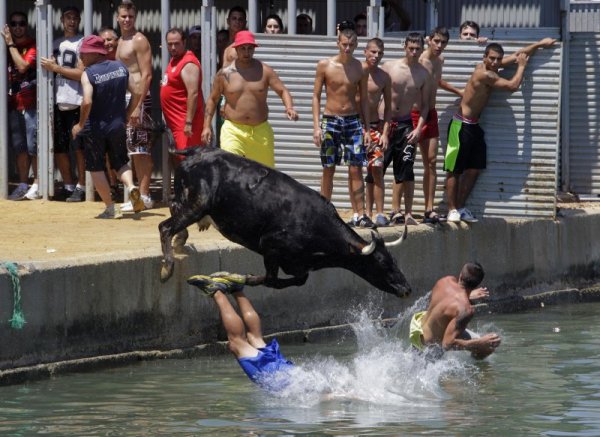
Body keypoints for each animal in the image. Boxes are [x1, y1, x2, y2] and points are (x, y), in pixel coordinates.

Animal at [158, 147, 412, 296]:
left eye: (394, 260)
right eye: (383, 263)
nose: (407, 288)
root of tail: (196, 152)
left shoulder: (297, 265)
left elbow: (296, 280)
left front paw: (228, 278)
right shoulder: (270, 247)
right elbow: (269, 280)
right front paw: (231, 278)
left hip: (189, 202)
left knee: (172, 211)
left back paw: (181, 241)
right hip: (197, 204)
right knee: (165, 227)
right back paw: (166, 268)